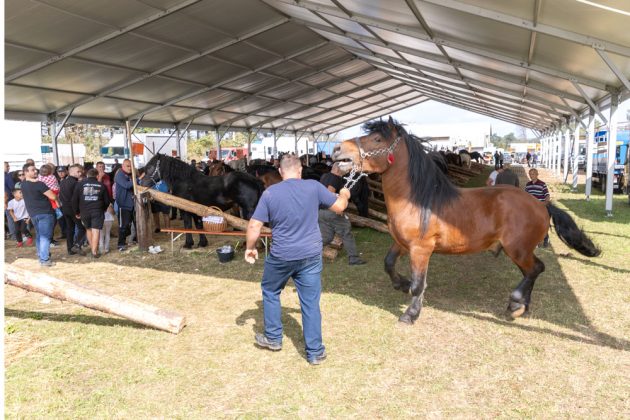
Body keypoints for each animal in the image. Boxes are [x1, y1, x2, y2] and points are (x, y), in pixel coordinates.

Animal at [333, 117, 600, 324]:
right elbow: (388, 264)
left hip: (518, 249)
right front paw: (401, 283)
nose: (337, 150)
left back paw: (516, 304)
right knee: (533, 271)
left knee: (536, 269)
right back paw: (522, 306)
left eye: (378, 139)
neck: (417, 199)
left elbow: (419, 284)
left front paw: (410, 313)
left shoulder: (421, 249)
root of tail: (541, 204)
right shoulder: (401, 243)